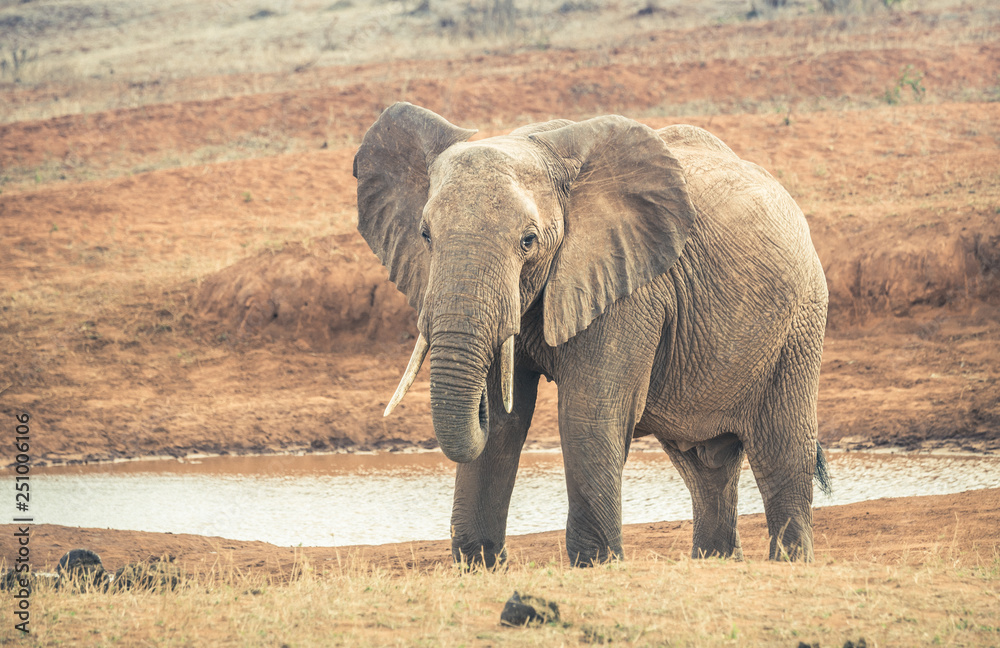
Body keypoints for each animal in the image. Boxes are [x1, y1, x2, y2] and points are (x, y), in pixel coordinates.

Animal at [353, 102, 831, 566]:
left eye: (528, 241)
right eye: (425, 235)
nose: (481, 408)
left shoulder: (631, 286)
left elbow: (588, 411)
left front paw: (597, 562)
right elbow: (509, 422)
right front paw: (480, 565)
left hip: (800, 323)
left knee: (781, 450)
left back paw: (790, 561)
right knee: (704, 464)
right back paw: (715, 561)